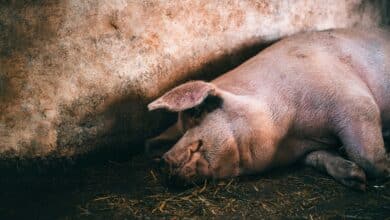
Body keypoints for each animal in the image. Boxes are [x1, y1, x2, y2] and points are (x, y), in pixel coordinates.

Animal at [147, 27, 390, 190]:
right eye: (180, 129)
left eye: (197, 112)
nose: (162, 161)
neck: (290, 132)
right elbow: (317, 157)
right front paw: (356, 178)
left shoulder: (353, 101)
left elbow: (367, 157)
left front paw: (383, 171)